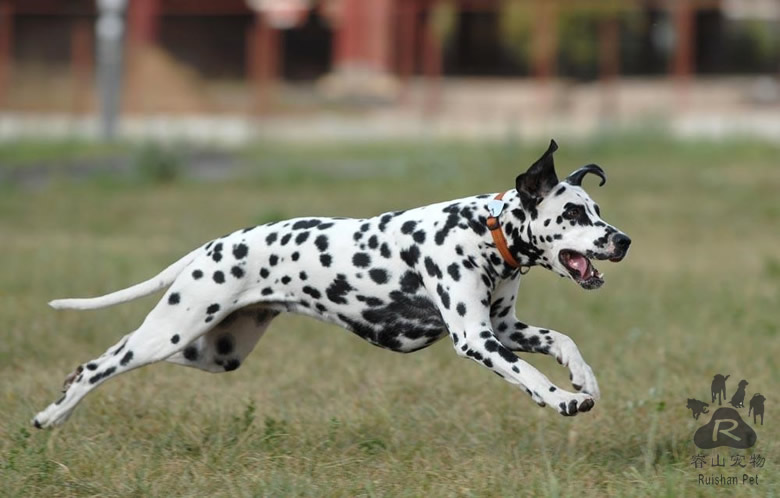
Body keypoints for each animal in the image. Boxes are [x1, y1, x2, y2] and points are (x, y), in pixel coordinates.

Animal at [32, 140, 631, 428]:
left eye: (599, 210)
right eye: (574, 213)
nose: (623, 240)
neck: (484, 230)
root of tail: (212, 246)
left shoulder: (504, 328)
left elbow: (561, 340)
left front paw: (584, 378)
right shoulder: (477, 339)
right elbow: (530, 376)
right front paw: (563, 400)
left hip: (214, 351)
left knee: (104, 358)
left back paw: (62, 389)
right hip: (172, 330)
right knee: (101, 364)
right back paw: (51, 415)